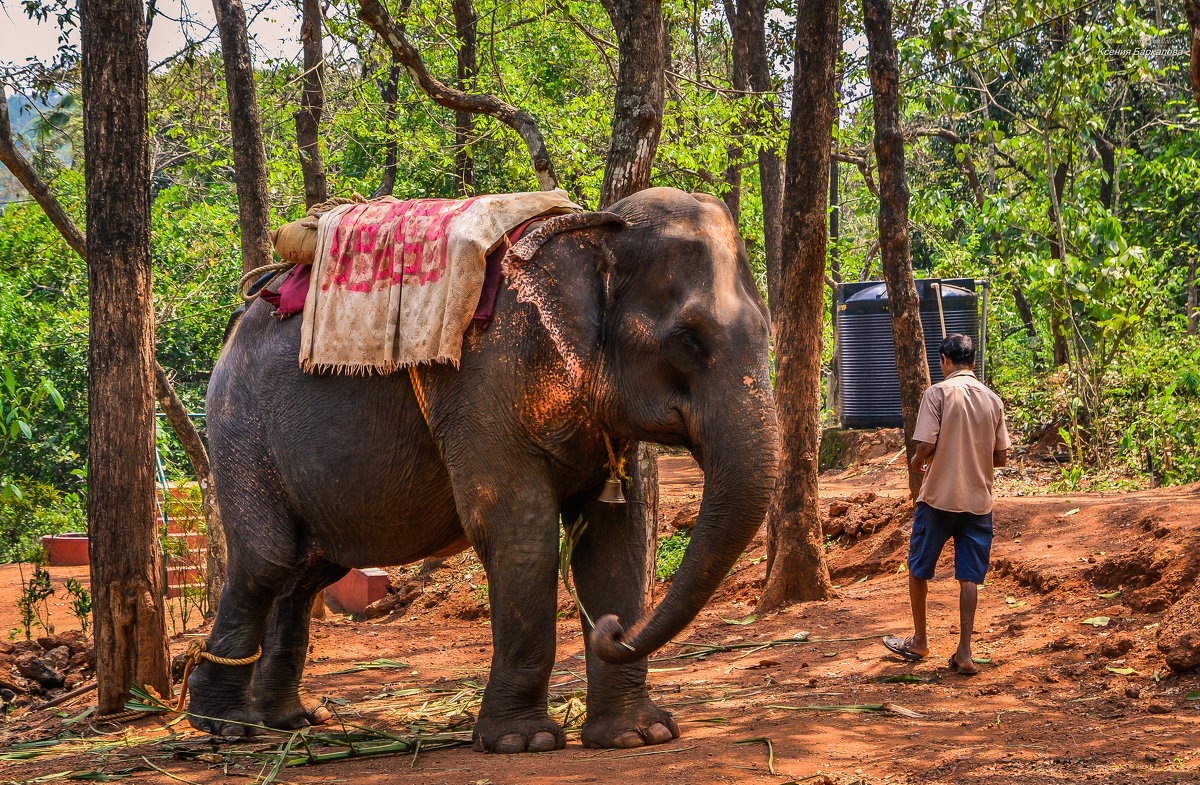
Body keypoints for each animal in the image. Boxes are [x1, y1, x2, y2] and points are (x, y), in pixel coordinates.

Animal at [192, 186, 782, 758]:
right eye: (688, 339)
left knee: (307, 572)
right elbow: (520, 529)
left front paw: (638, 736)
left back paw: (289, 721)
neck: (593, 233)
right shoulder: (483, 381)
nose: (613, 631)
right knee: (267, 561)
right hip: (239, 427)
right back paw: (226, 728)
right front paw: (524, 743)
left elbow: (616, 535)